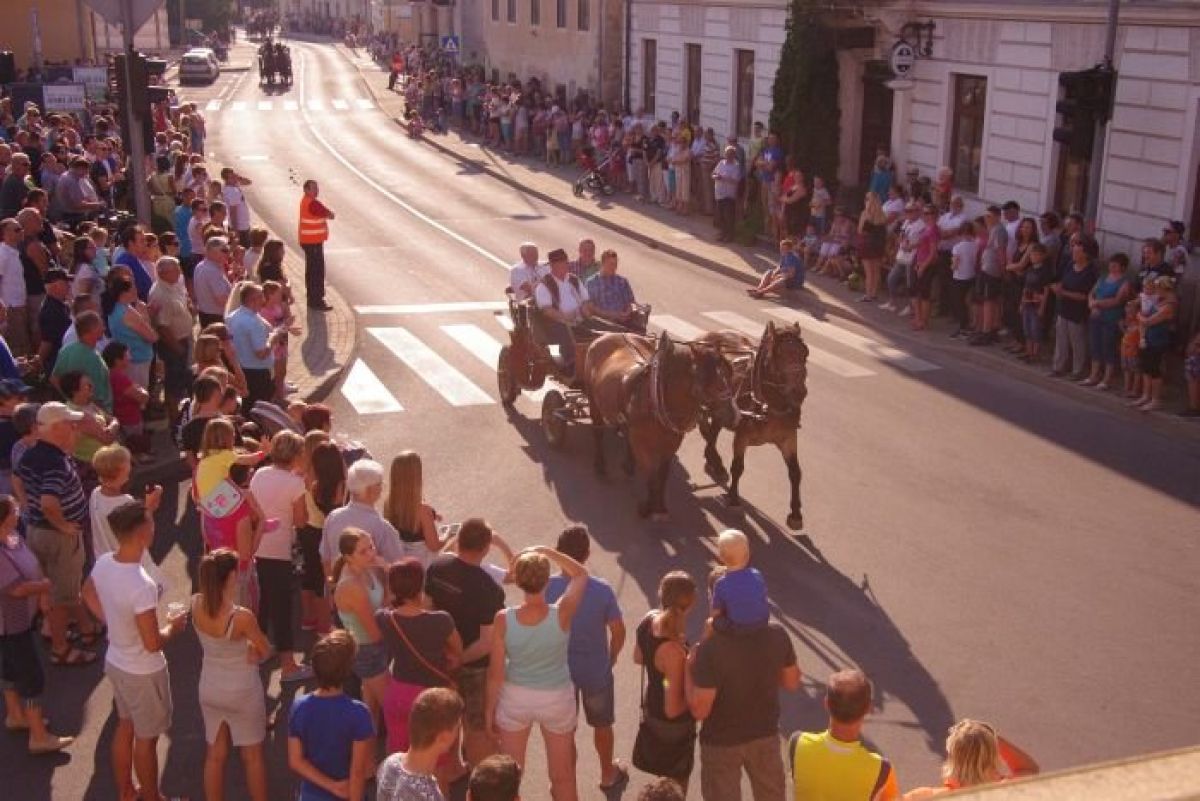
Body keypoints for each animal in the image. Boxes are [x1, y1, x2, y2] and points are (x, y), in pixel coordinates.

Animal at [584, 331, 734, 522]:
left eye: (730, 375)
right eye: (709, 380)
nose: (733, 415)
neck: (658, 397)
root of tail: (609, 334)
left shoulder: (671, 444)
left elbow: (663, 474)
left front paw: (660, 506)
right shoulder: (643, 444)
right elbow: (652, 474)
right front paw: (647, 507)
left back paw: (628, 464)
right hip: (593, 400)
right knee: (598, 432)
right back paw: (600, 465)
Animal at [698, 321, 810, 530]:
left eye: (805, 352)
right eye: (779, 354)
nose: (800, 393)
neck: (769, 404)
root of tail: (707, 335)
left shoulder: (788, 438)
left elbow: (795, 472)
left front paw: (795, 514)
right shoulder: (742, 436)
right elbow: (738, 467)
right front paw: (734, 499)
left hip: (722, 408)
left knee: (712, 432)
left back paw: (714, 462)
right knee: (707, 429)